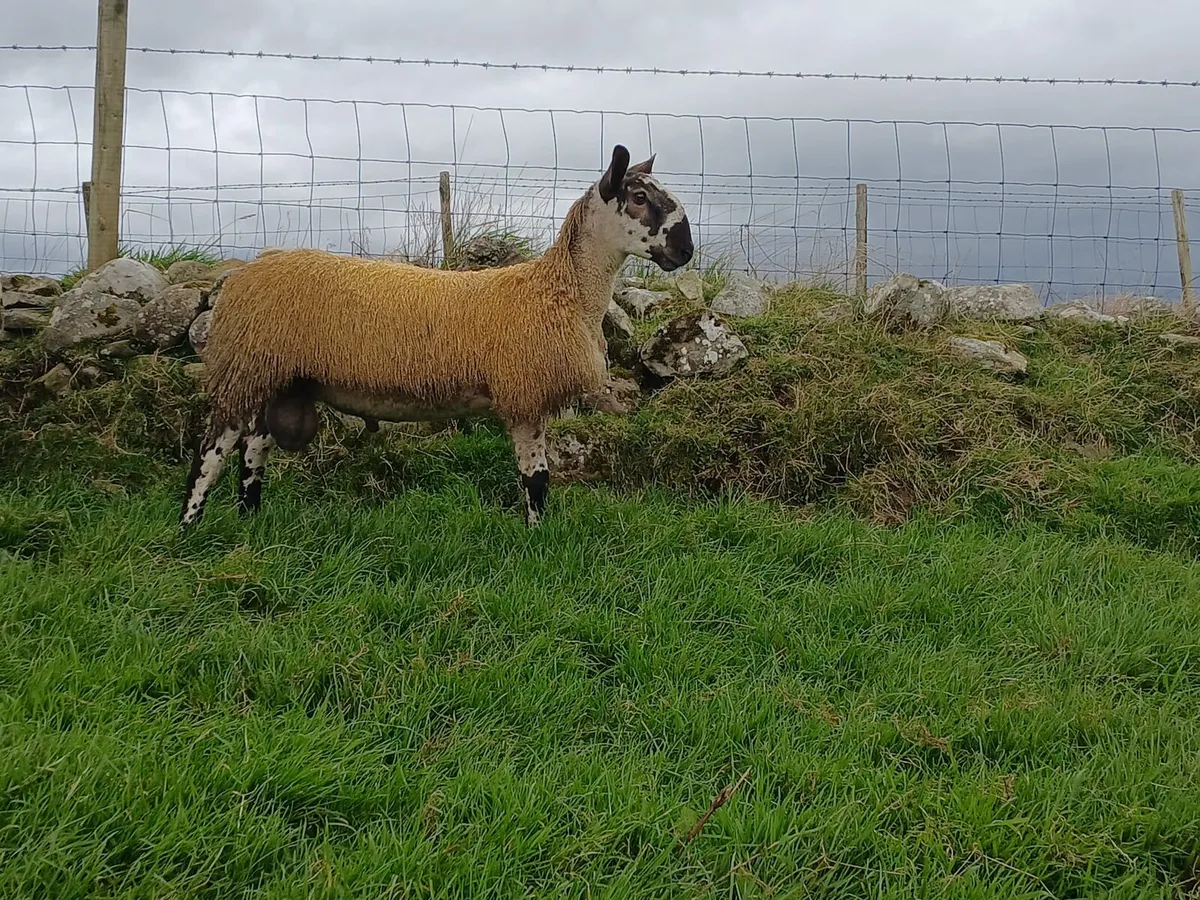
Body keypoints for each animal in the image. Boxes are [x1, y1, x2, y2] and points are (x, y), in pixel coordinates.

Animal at [178, 143, 694, 529]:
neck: (560, 291)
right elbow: (536, 480)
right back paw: (190, 531)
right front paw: (536, 542)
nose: (686, 249)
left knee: (253, 452)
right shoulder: (524, 394)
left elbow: (538, 478)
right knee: (211, 455)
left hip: (279, 377)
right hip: (245, 367)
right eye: (639, 197)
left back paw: (250, 522)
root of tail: (244, 274)